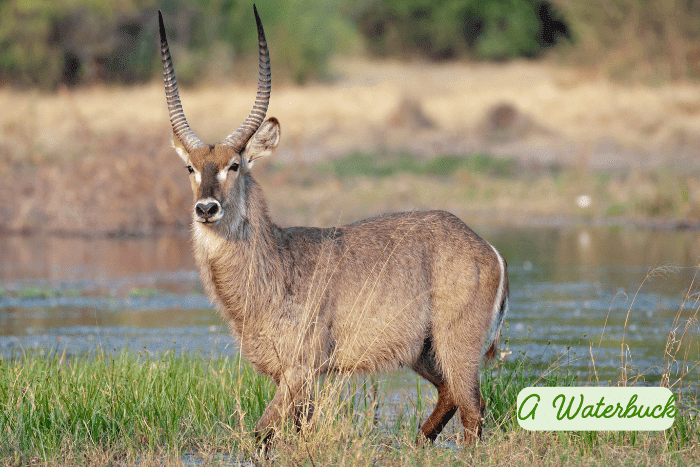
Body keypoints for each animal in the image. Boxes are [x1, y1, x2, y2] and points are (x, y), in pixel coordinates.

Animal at [158, 6, 509, 446]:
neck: (274, 263)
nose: (206, 208)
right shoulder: (294, 377)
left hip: (455, 345)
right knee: (451, 397)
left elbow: (261, 435)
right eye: (190, 167)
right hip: (423, 351)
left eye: (234, 165)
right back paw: (414, 444)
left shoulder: (299, 369)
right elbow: (292, 432)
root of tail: (485, 246)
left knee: (473, 409)